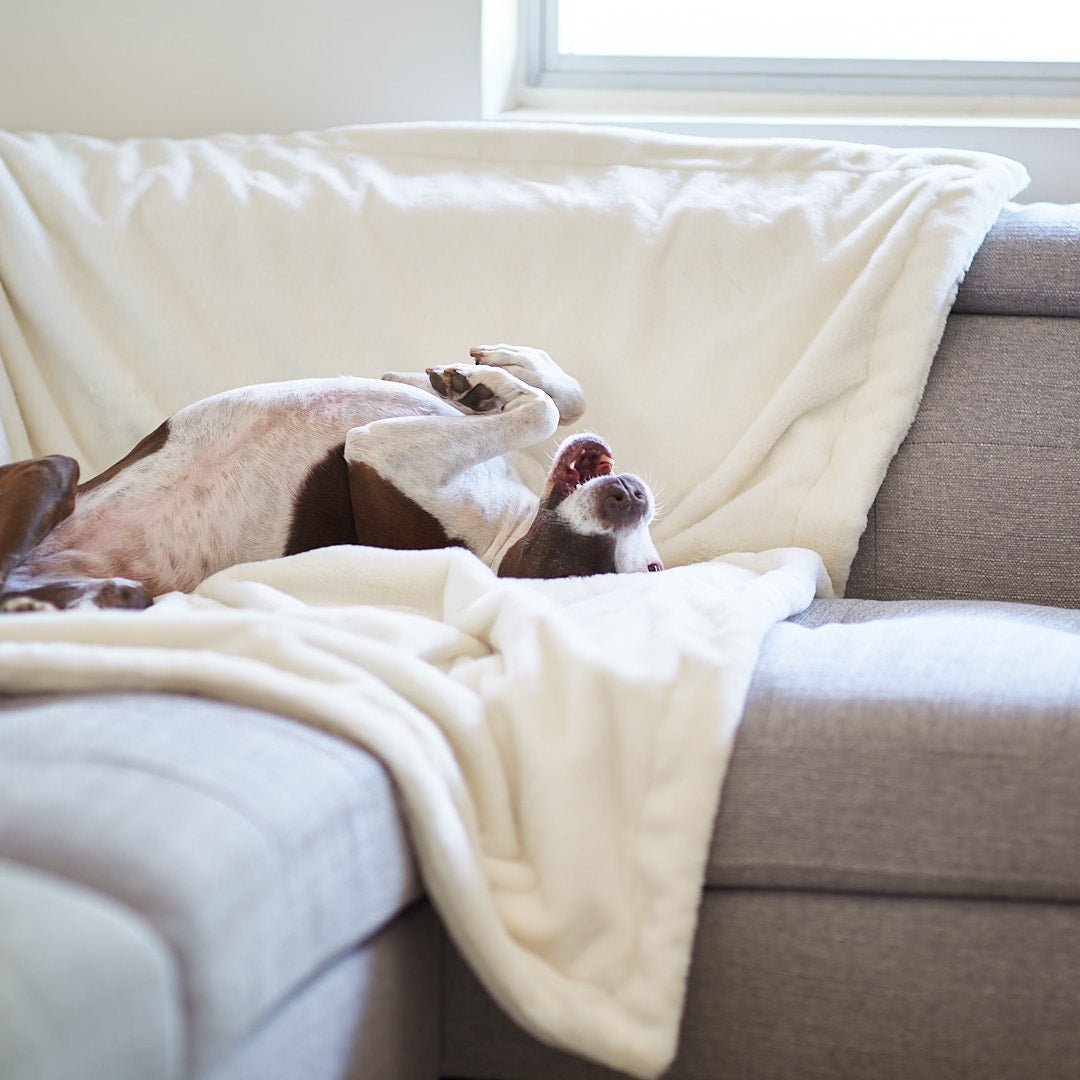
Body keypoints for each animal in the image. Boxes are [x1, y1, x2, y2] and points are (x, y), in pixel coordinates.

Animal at [0, 347, 660, 617]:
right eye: (656, 567)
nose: (630, 497)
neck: (506, 535)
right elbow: (561, 403)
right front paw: (492, 375)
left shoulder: (377, 451)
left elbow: (542, 412)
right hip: (58, 477)